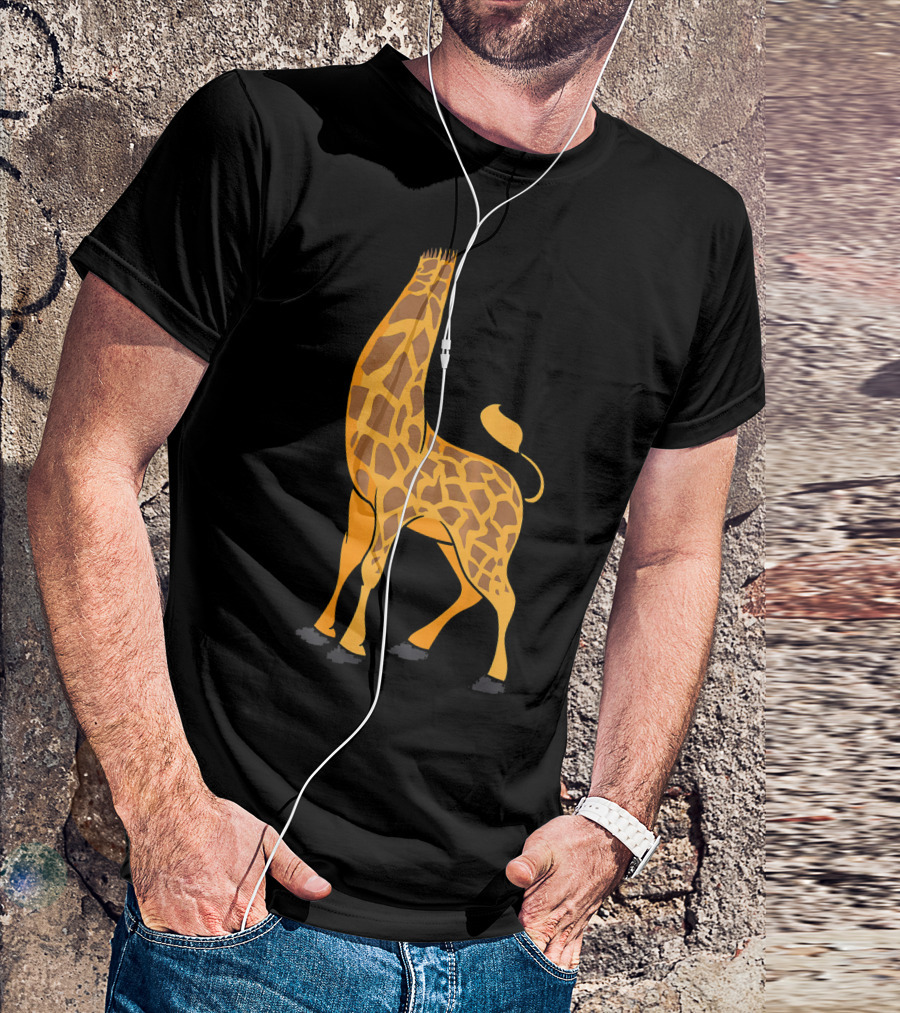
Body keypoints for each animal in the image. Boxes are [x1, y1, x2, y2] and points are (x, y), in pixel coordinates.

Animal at [300, 249, 544, 693]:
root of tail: (520, 493)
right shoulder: (361, 500)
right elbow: (347, 557)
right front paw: (321, 629)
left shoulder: (393, 506)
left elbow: (371, 569)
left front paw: (349, 645)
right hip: (452, 541)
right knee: (471, 592)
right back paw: (416, 644)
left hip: (486, 550)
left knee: (505, 598)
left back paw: (492, 678)